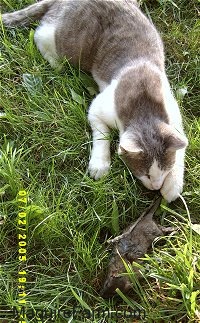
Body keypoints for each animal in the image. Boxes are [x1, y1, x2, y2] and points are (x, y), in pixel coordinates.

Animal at [1, 0, 188, 202]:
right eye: (145, 173)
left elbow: (181, 147)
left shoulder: (173, 116)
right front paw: (100, 164)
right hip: (68, 42)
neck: (143, 104)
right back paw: (56, 63)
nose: (156, 186)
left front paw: (173, 184)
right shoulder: (98, 108)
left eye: (165, 170)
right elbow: (101, 134)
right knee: (41, 33)